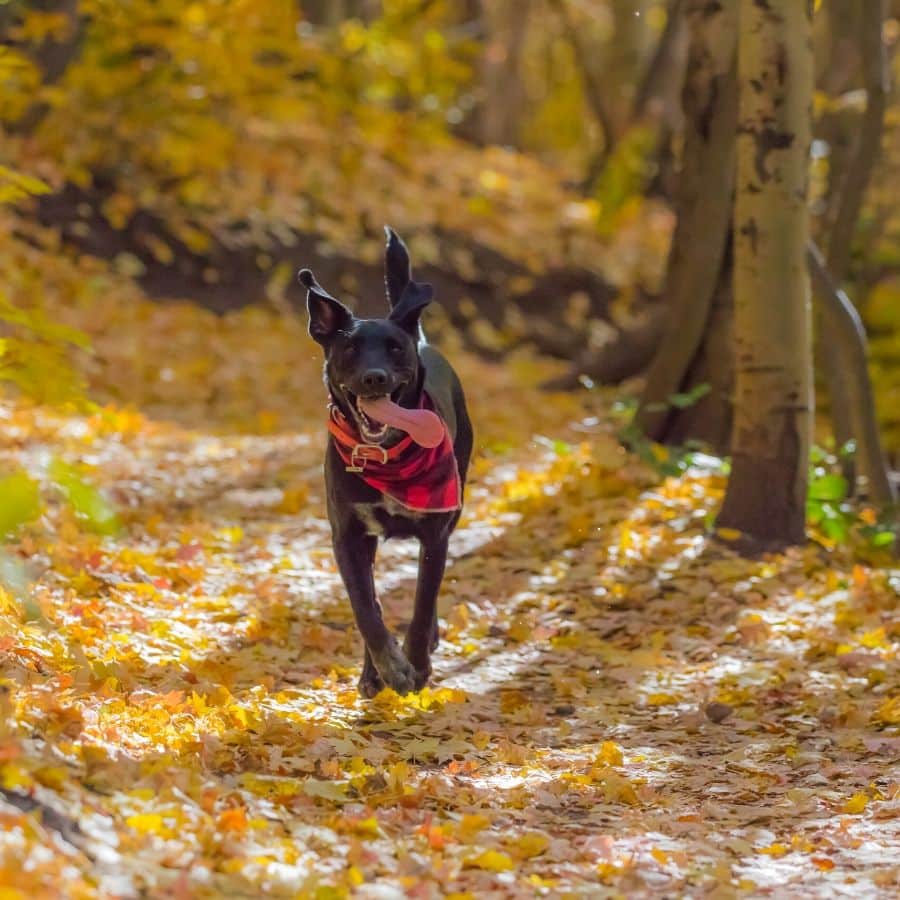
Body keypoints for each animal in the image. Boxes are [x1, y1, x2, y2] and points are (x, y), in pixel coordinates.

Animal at [300, 227, 472, 696]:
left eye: (395, 349)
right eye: (350, 348)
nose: (374, 377)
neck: (386, 456)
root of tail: (424, 339)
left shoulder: (435, 534)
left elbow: (421, 603)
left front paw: (416, 664)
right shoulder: (348, 537)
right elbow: (366, 609)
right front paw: (389, 668)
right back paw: (372, 671)